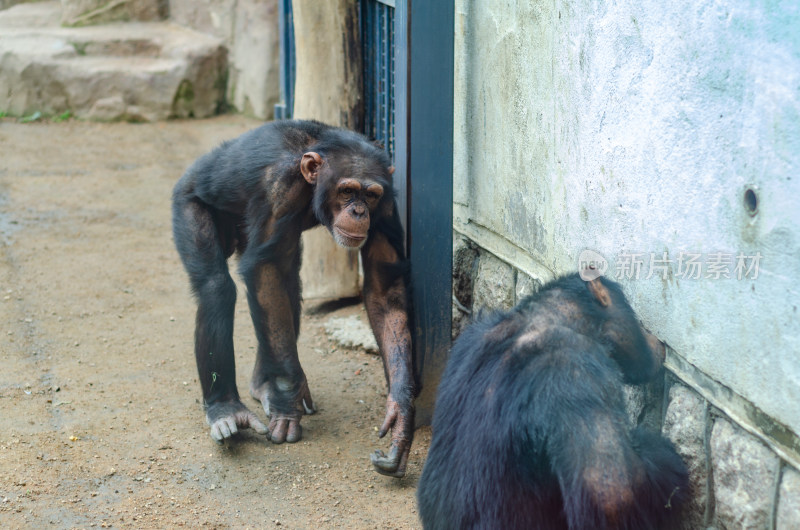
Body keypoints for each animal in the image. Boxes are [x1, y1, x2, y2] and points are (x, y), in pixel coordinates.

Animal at [173, 119, 416, 474]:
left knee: (289, 282)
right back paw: (226, 410)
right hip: (187, 203)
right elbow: (267, 269)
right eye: (347, 190)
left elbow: (383, 286)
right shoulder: (279, 187)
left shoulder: (386, 204)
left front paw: (401, 413)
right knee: (217, 288)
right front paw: (288, 399)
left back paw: (263, 385)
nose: (359, 211)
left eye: (370, 195)